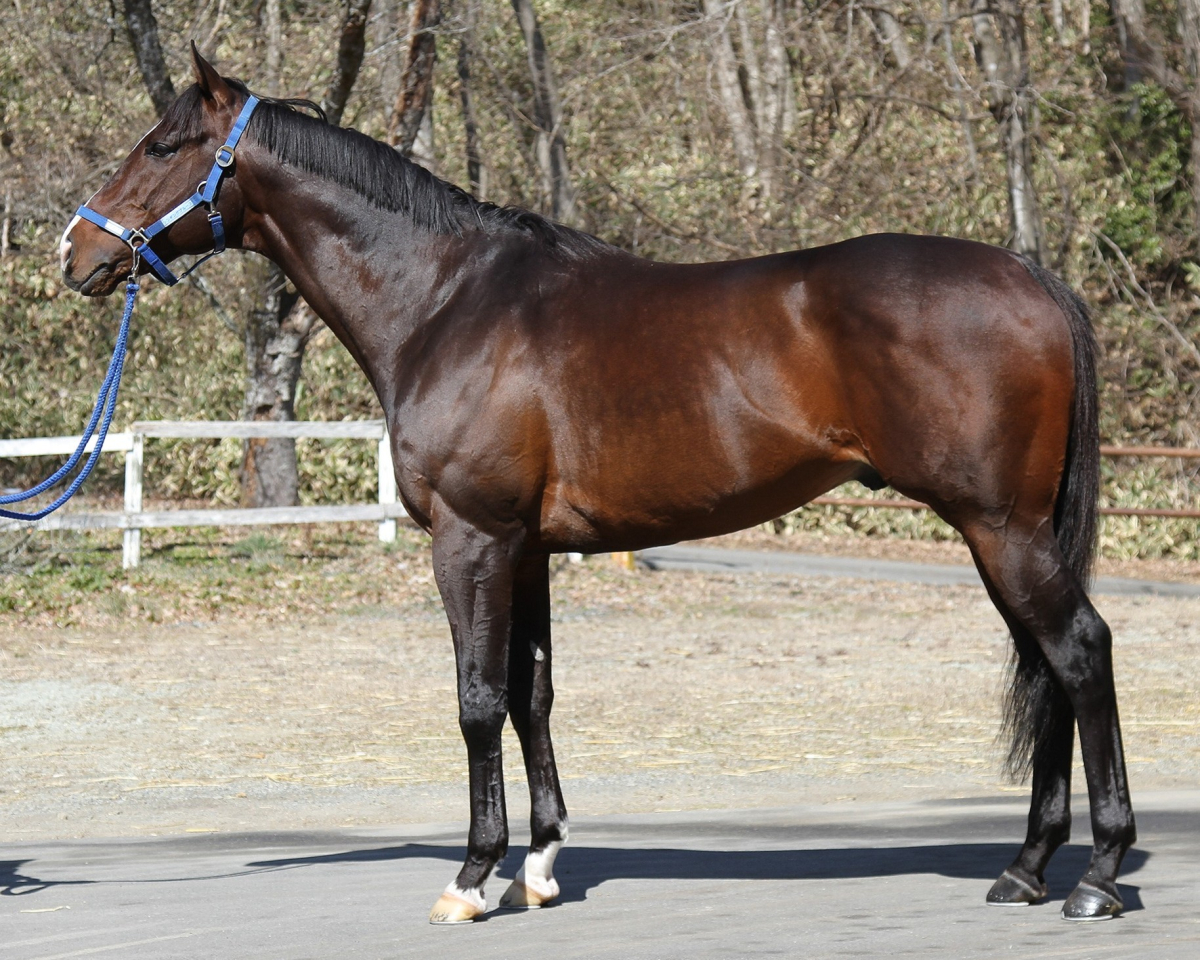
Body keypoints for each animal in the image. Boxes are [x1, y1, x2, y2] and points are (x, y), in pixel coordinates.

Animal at [60, 47, 1134, 924]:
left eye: (163, 144)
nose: (77, 252)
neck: (446, 299)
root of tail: (1034, 279)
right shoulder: (527, 548)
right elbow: (532, 695)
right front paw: (536, 868)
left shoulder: (471, 539)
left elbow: (477, 699)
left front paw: (470, 877)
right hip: (1006, 533)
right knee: (1048, 667)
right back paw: (1027, 868)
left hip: (1000, 527)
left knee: (1079, 653)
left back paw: (1095, 876)